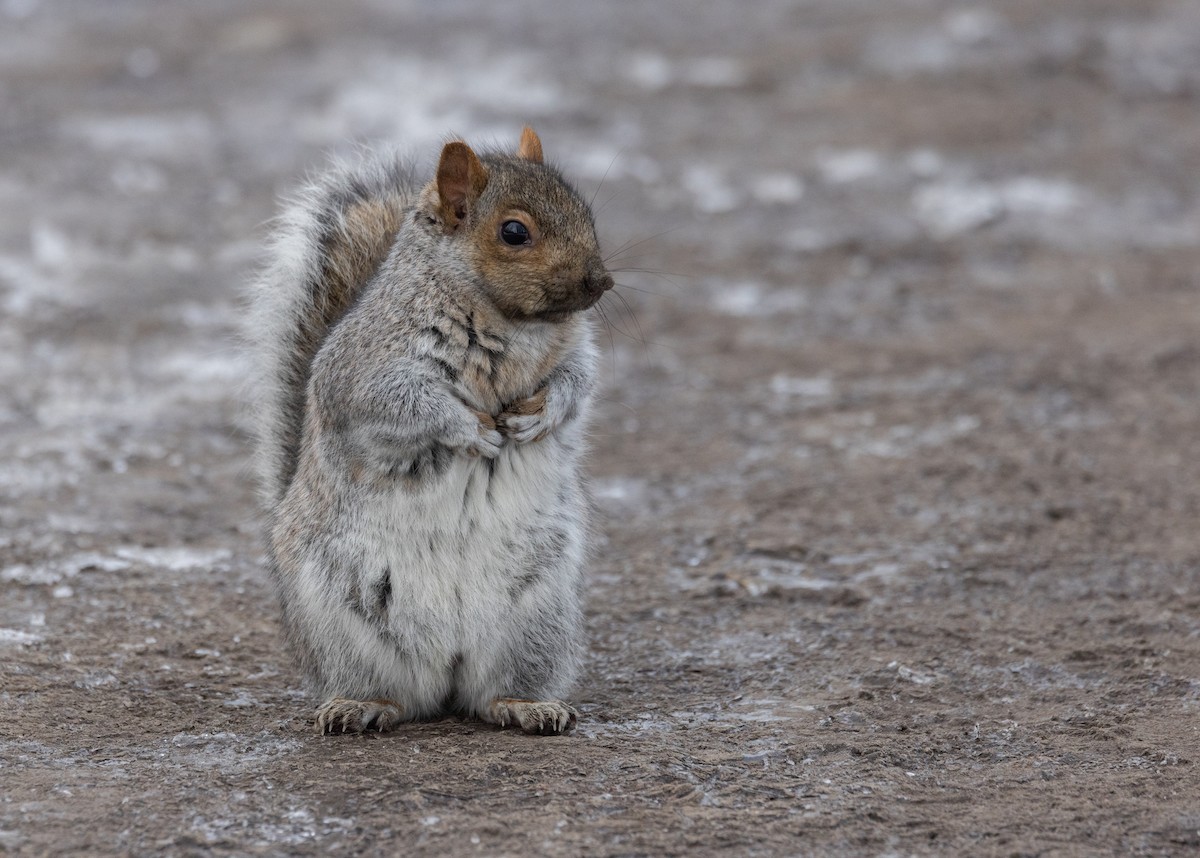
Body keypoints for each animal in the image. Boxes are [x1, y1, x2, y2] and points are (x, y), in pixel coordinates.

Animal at [248, 127, 612, 736]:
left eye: (586, 210)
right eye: (514, 232)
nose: (601, 282)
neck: (512, 324)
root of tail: (445, 673)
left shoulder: (575, 353)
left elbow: (577, 383)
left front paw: (536, 417)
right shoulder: (365, 373)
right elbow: (406, 406)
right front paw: (471, 431)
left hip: (538, 619)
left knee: (489, 695)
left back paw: (527, 705)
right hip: (341, 626)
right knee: (391, 694)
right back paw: (361, 706)